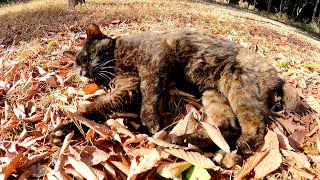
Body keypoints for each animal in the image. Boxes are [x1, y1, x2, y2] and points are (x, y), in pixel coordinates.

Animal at [50, 23, 308, 168]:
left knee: (254, 130)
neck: (117, 59)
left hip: (239, 90)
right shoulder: (127, 89)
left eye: (87, 57)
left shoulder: (155, 61)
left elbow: (151, 92)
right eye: (77, 66)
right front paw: (65, 128)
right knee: (229, 127)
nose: (83, 73)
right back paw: (186, 140)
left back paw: (229, 152)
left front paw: (151, 123)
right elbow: (96, 107)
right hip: (213, 95)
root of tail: (277, 76)